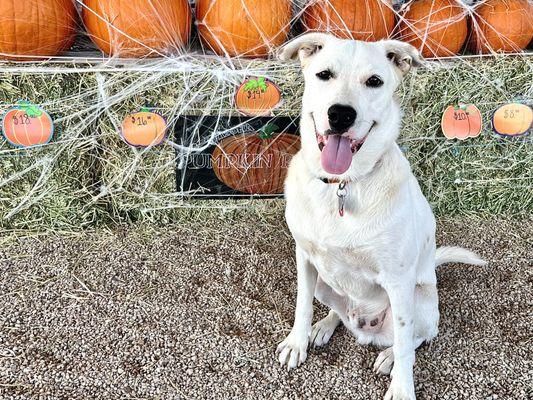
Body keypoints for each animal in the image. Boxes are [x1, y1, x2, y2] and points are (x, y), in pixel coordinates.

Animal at [274, 33, 486, 400]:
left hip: (421, 300)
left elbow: (404, 343)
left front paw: (401, 388)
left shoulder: (398, 282)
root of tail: (364, 327)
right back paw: (325, 325)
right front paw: (297, 342)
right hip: (325, 284)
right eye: (324, 74)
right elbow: (302, 304)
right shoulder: (305, 256)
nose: (340, 115)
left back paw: (386, 356)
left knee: (415, 337)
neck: (343, 185)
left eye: (374, 81)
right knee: (336, 309)